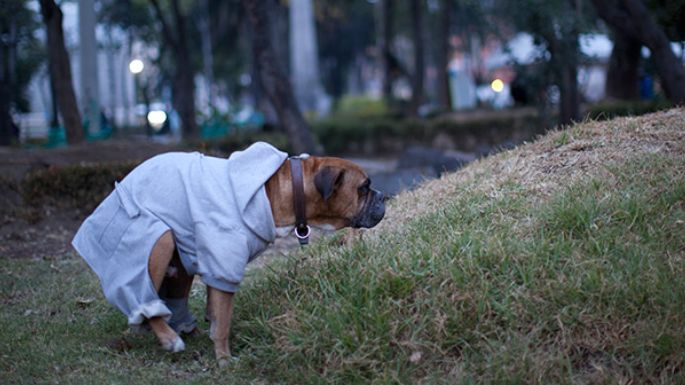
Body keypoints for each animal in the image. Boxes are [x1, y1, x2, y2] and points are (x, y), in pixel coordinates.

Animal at [73, 142, 388, 362]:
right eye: (364, 187)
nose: (384, 196)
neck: (279, 190)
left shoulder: (215, 267)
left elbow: (216, 310)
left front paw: (214, 338)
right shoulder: (224, 264)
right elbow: (223, 319)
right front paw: (224, 359)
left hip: (180, 262)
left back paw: (183, 328)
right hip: (158, 239)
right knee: (142, 298)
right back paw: (169, 338)